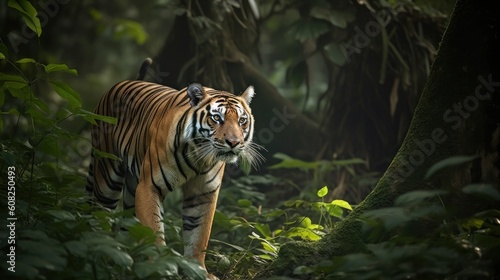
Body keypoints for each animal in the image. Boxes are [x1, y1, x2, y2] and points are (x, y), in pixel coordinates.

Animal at [86, 60, 264, 278]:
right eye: (217, 118)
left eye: (242, 121)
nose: (234, 142)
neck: (199, 156)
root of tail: (118, 85)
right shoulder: (149, 186)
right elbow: (153, 230)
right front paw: (160, 267)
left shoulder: (203, 193)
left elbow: (199, 235)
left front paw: (198, 270)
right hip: (106, 174)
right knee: (99, 212)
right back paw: (100, 253)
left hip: (132, 186)